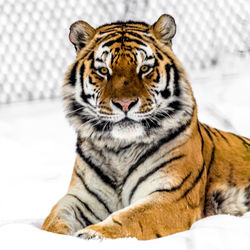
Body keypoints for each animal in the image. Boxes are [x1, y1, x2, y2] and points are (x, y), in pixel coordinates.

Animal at [42, 14, 250, 240]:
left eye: (144, 68)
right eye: (104, 70)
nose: (125, 103)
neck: (119, 149)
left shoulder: (172, 195)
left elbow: (129, 219)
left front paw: (92, 235)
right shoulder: (82, 198)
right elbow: (54, 218)